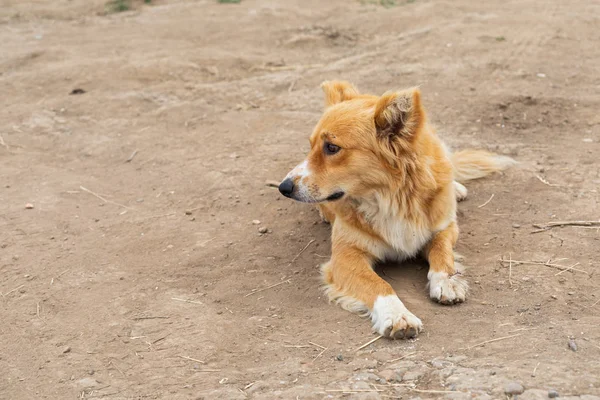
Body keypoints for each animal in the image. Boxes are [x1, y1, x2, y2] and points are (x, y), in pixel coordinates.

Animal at [278, 81, 516, 338]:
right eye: (310, 146)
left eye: (332, 147)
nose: (283, 187)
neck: (390, 198)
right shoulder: (345, 255)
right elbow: (377, 284)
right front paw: (396, 314)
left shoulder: (444, 227)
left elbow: (442, 252)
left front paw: (447, 281)